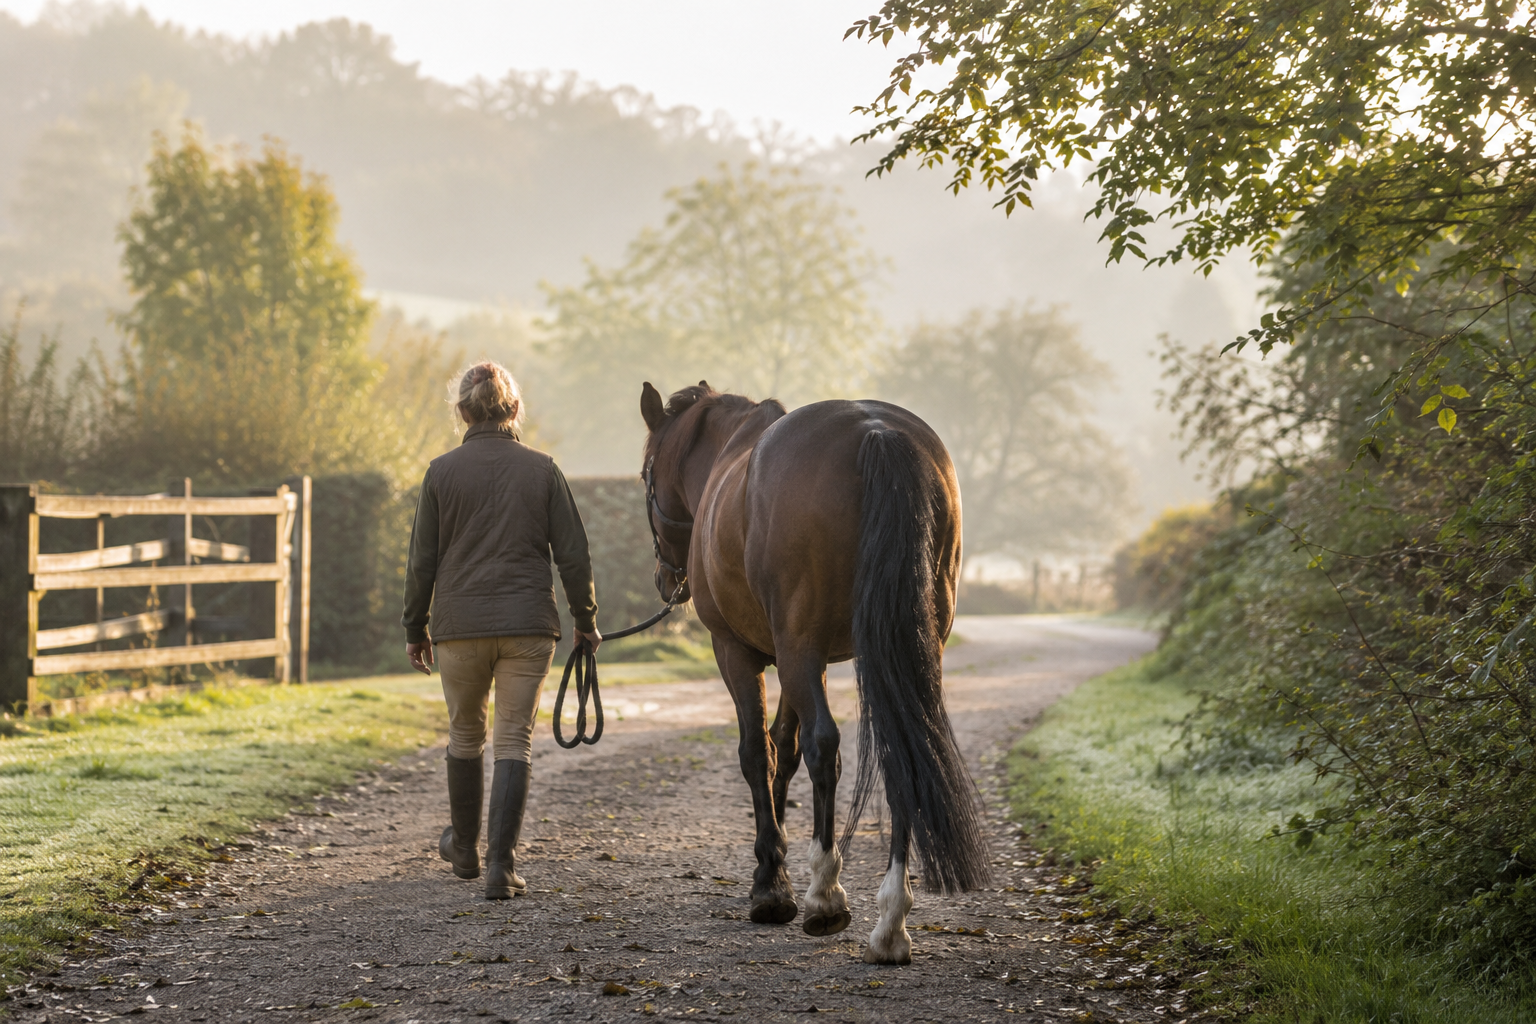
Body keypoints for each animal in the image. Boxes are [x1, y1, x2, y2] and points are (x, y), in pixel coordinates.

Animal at [638, 381, 991, 964]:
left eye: (646, 475)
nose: (668, 581)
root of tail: (876, 431)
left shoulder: (743, 652)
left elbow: (758, 752)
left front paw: (771, 886)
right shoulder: (805, 660)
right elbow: (785, 748)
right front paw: (773, 868)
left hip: (799, 648)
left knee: (826, 747)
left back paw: (826, 893)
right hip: (898, 646)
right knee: (900, 753)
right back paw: (890, 922)